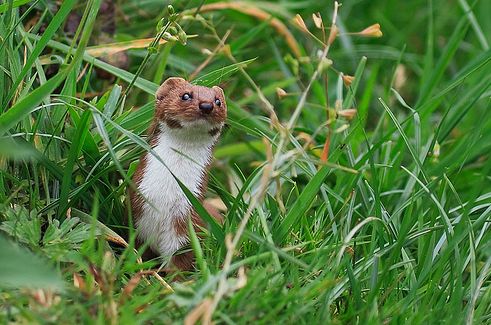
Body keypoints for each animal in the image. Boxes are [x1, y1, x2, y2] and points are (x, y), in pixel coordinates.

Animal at [128, 77, 226, 270]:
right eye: (185, 95)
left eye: (218, 101)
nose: (206, 105)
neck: (165, 197)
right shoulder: (138, 209)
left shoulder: (186, 219)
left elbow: (180, 258)